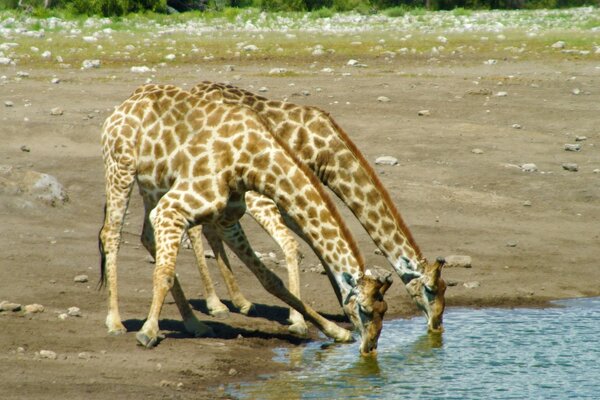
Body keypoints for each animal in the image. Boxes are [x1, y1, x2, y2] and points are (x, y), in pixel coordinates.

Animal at [97, 84, 394, 356]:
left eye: (384, 310)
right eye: (365, 309)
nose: (370, 348)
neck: (253, 160)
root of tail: (123, 106)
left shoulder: (227, 217)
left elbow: (271, 280)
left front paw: (334, 331)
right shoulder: (173, 208)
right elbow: (165, 273)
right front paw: (148, 331)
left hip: (152, 184)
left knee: (147, 236)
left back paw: (195, 324)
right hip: (120, 168)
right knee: (111, 234)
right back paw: (115, 322)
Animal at [190, 80, 448, 332]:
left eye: (445, 289)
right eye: (431, 289)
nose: (437, 325)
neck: (326, 153)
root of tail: (195, 88)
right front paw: (298, 319)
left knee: (209, 227)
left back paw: (239, 302)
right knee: (197, 228)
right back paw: (216, 305)